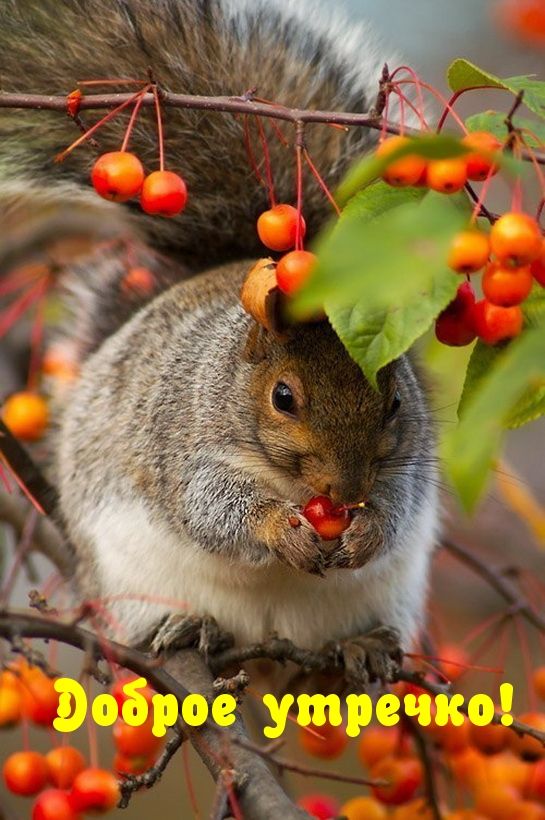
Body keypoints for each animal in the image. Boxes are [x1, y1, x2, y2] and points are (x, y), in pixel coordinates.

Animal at [0, 0, 438, 672]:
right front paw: (277, 529)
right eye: (283, 397)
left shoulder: (407, 460)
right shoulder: (182, 439)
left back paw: (362, 643)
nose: (345, 491)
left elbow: (400, 504)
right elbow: (212, 507)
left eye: (393, 402)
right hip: (127, 579)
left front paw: (366, 529)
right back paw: (189, 627)